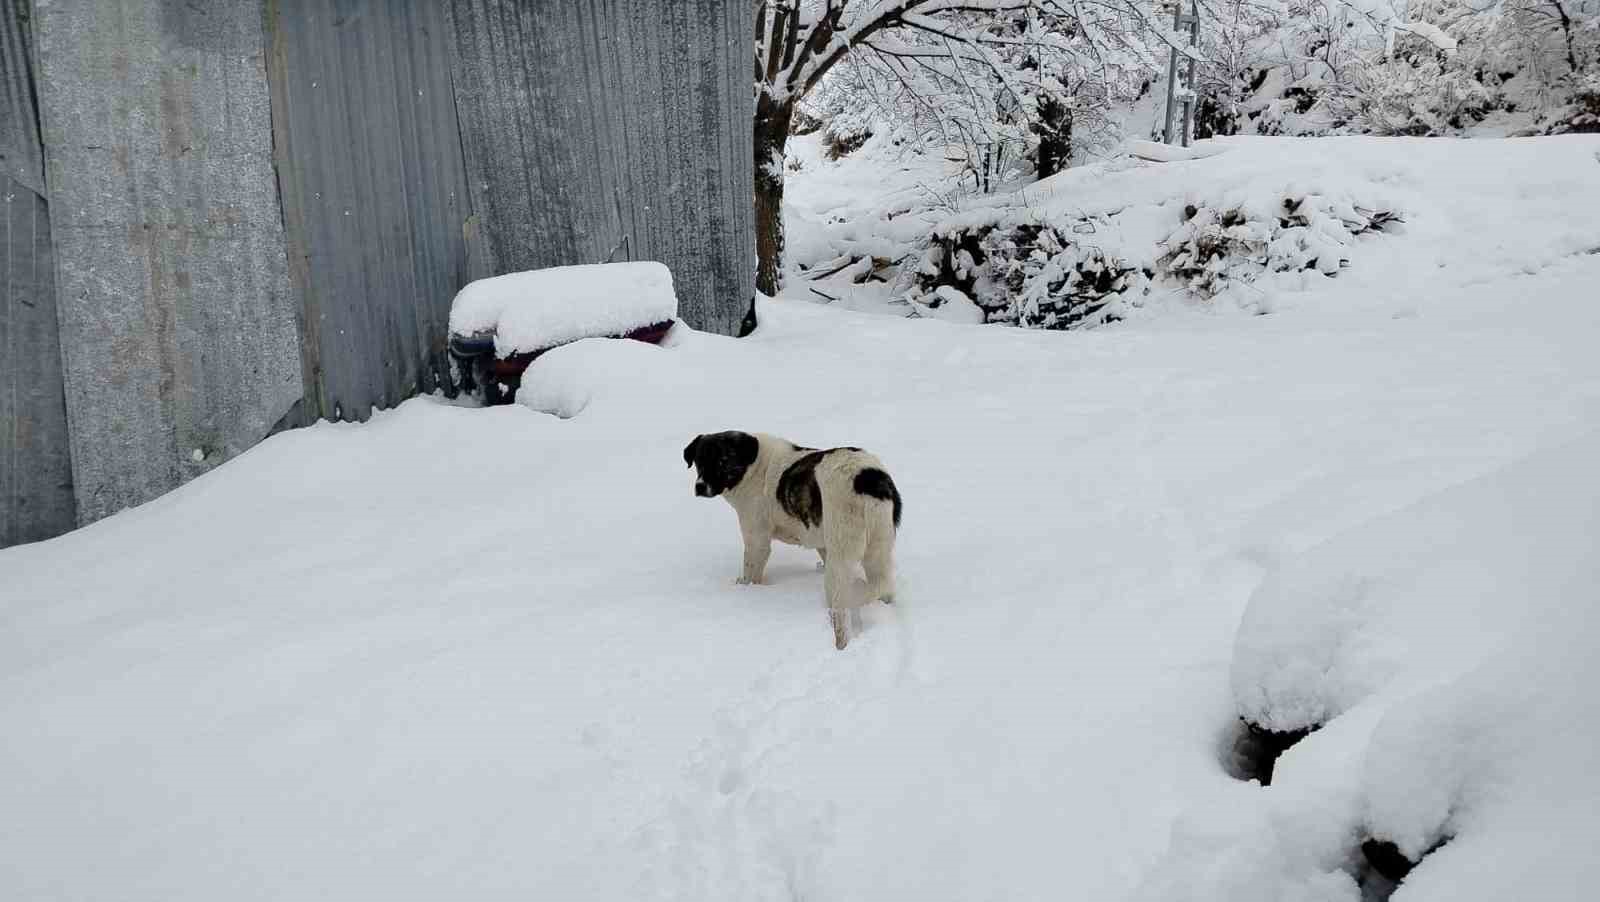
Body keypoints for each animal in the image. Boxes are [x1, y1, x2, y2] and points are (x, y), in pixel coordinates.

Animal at [684, 431, 902, 649]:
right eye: (699, 461)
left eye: (722, 461)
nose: (700, 487)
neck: (753, 466)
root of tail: (868, 478)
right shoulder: (822, 541)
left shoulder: (756, 538)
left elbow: (750, 573)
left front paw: (746, 589)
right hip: (877, 547)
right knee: (882, 583)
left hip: (842, 554)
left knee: (843, 606)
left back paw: (841, 637)